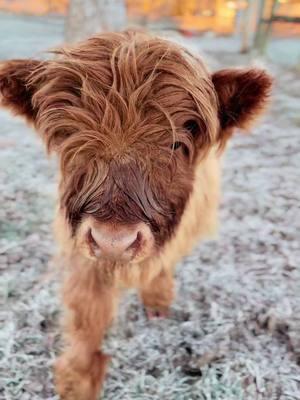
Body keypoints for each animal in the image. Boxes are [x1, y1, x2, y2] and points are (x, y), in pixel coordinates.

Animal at [0, 29, 272, 398]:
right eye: (68, 136)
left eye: (176, 144)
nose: (114, 241)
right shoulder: (82, 247)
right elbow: (87, 311)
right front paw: (79, 379)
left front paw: (157, 300)